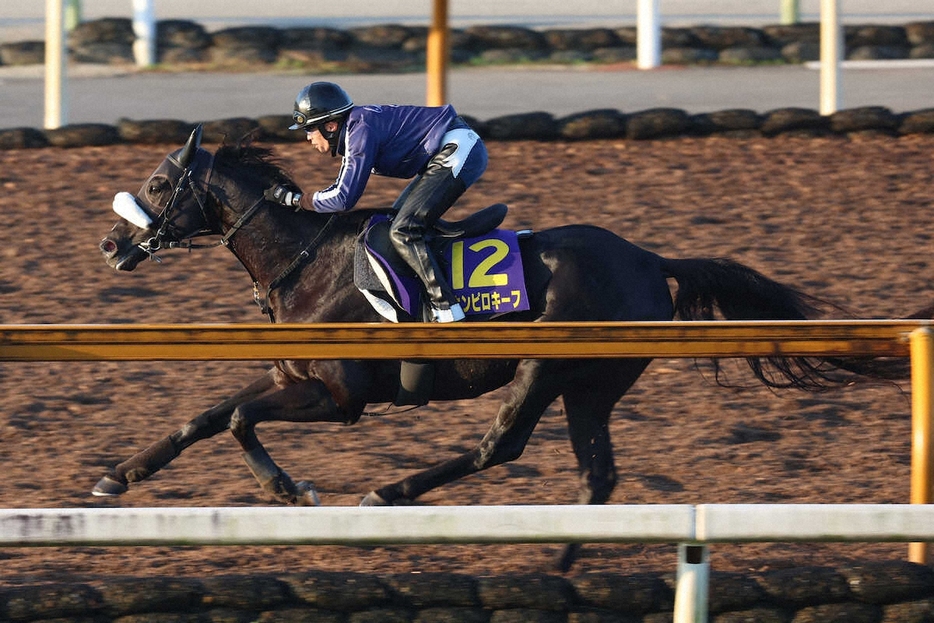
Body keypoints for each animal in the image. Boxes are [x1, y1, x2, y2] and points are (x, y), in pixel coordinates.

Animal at [97, 127, 908, 572]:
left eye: (160, 181)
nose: (109, 243)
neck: (307, 259)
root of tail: (650, 259)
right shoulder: (291, 375)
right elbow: (207, 416)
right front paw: (119, 475)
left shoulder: (341, 395)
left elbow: (236, 420)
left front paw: (293, 491)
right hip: (589, 384)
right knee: (595, 473)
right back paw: (560, 562)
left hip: (546, 366)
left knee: (500, 445)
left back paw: (388, 494)